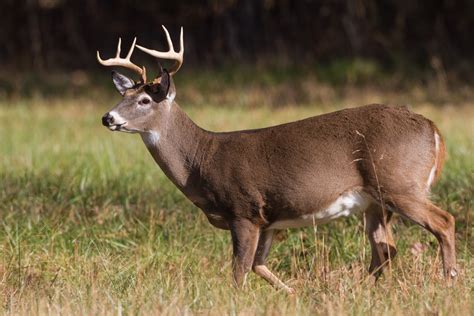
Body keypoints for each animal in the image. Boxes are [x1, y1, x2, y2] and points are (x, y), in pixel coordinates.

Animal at [98, 25, 458, 294]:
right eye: (123, 95)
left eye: (145, 100)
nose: (108, 117)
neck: (202, 161)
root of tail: (433, 129)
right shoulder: (268, 219)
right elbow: (259, 265)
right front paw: (294, 293)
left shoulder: (243, 209)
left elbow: (239, 272)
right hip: (376, 202)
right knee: (385, 248)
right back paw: (362, 291)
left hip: (399, 184)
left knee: (443, 222)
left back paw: (449, 281)